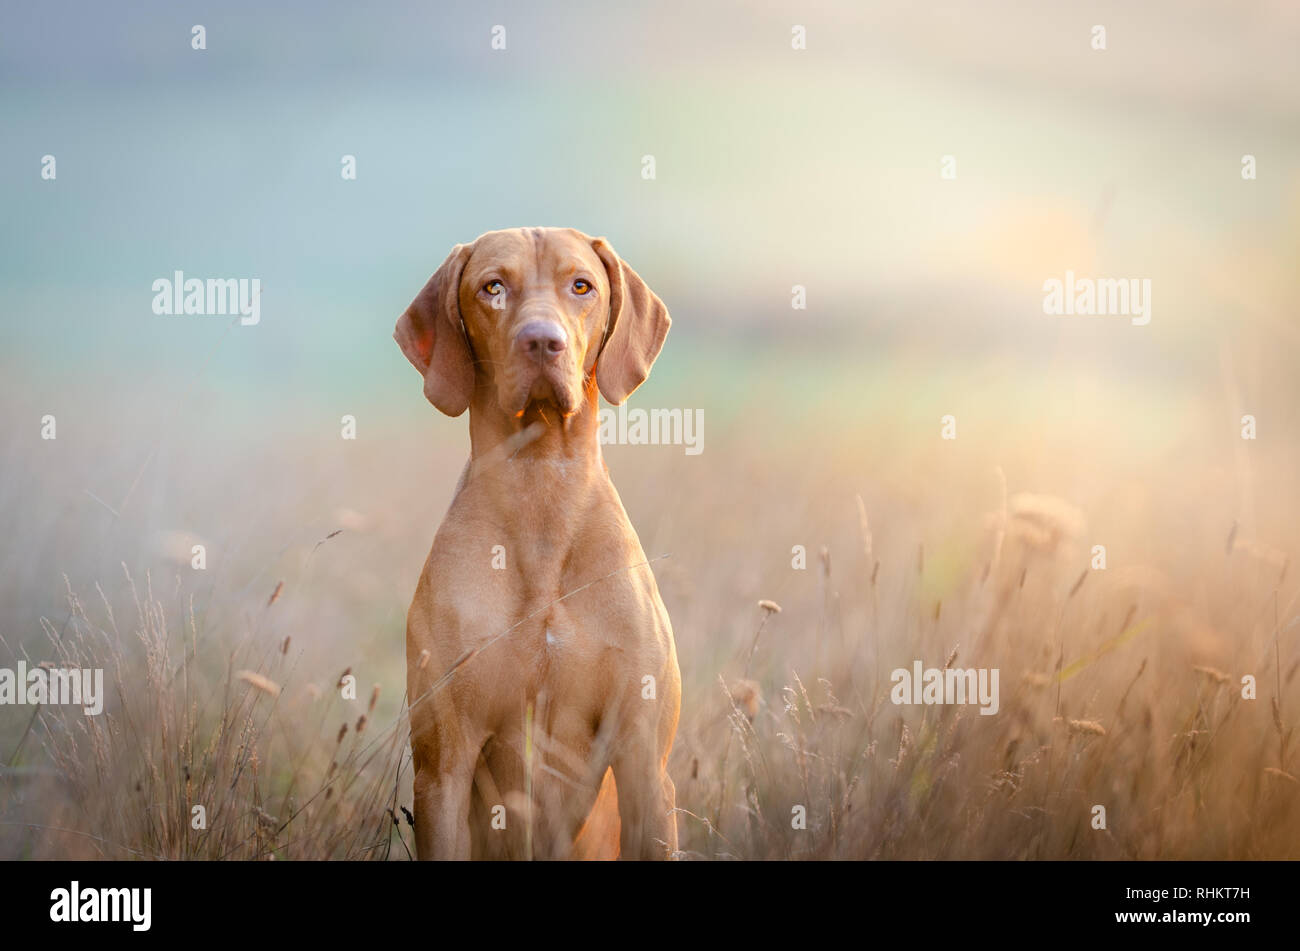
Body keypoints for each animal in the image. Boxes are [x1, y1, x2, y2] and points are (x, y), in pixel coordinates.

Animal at [392, 224, 681, 862]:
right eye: (493, 287)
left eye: (582, 286)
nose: (543, 342)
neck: (542, 489)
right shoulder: (442, 769)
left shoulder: (644, 762)